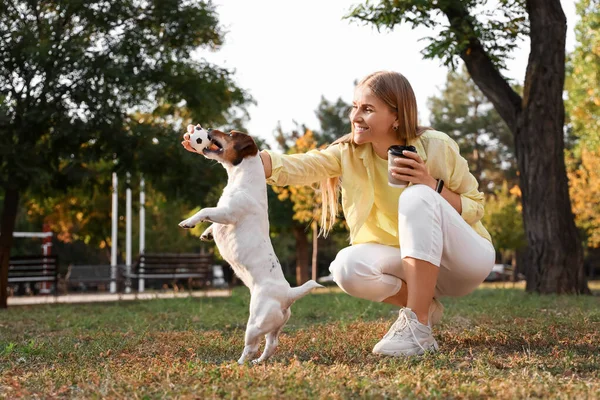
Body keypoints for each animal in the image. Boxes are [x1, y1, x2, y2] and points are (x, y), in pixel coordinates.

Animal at [179, 126, 324, 366]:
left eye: (230, 133)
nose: (204, 129)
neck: (242, 179)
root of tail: (288, 295)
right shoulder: (222, 214)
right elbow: (212, 223)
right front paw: (206, 234)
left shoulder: (227, 213)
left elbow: (205, 211)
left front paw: (189, 222)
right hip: (274, 327)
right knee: (271, 344)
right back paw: (258, 362)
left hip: (255, 323)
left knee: (251, 347)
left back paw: (239, 364)